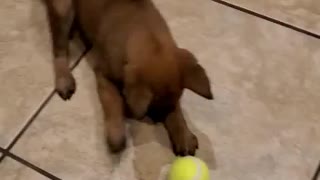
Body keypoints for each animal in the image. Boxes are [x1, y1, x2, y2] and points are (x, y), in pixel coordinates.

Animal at [45, 0, 214, 155]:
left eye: (167, 105)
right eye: (154, 104)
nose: (159, 119)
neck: (146, 34)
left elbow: (177, 112)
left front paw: (183, 134)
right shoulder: (104, 77)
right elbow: (113, 103)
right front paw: (116, 134)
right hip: (63, 9)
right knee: (59, 50)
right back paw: (64, 79)